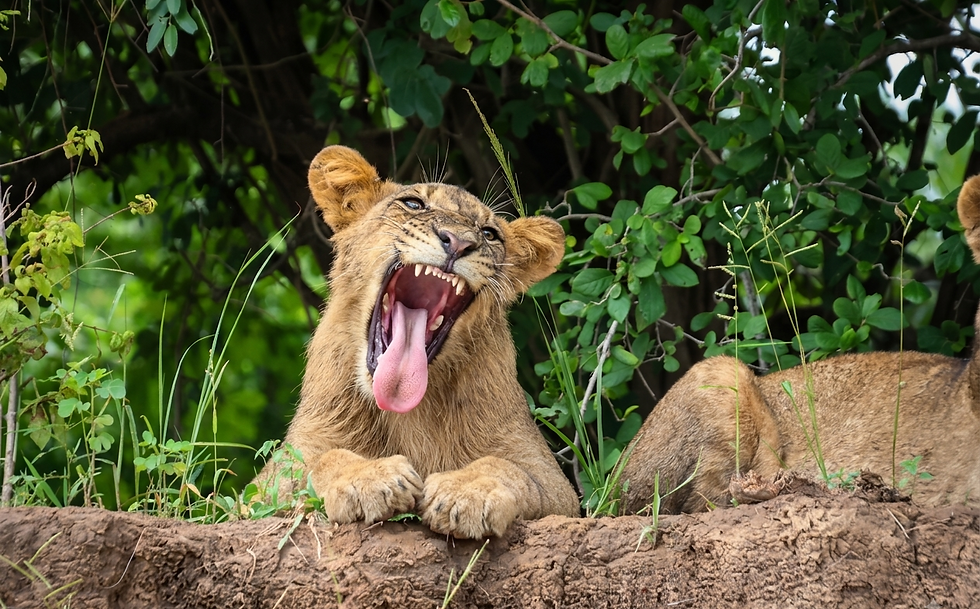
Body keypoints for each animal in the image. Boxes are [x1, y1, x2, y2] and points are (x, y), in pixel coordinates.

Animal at [256, 145, 580, 538]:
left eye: (489, 233)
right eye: (413, 204)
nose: (459, 242)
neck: (408, 412)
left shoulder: (551, 480)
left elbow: (508, 469)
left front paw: (467, 493)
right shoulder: (274, 473)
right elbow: (322, 461)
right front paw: (370, 478)